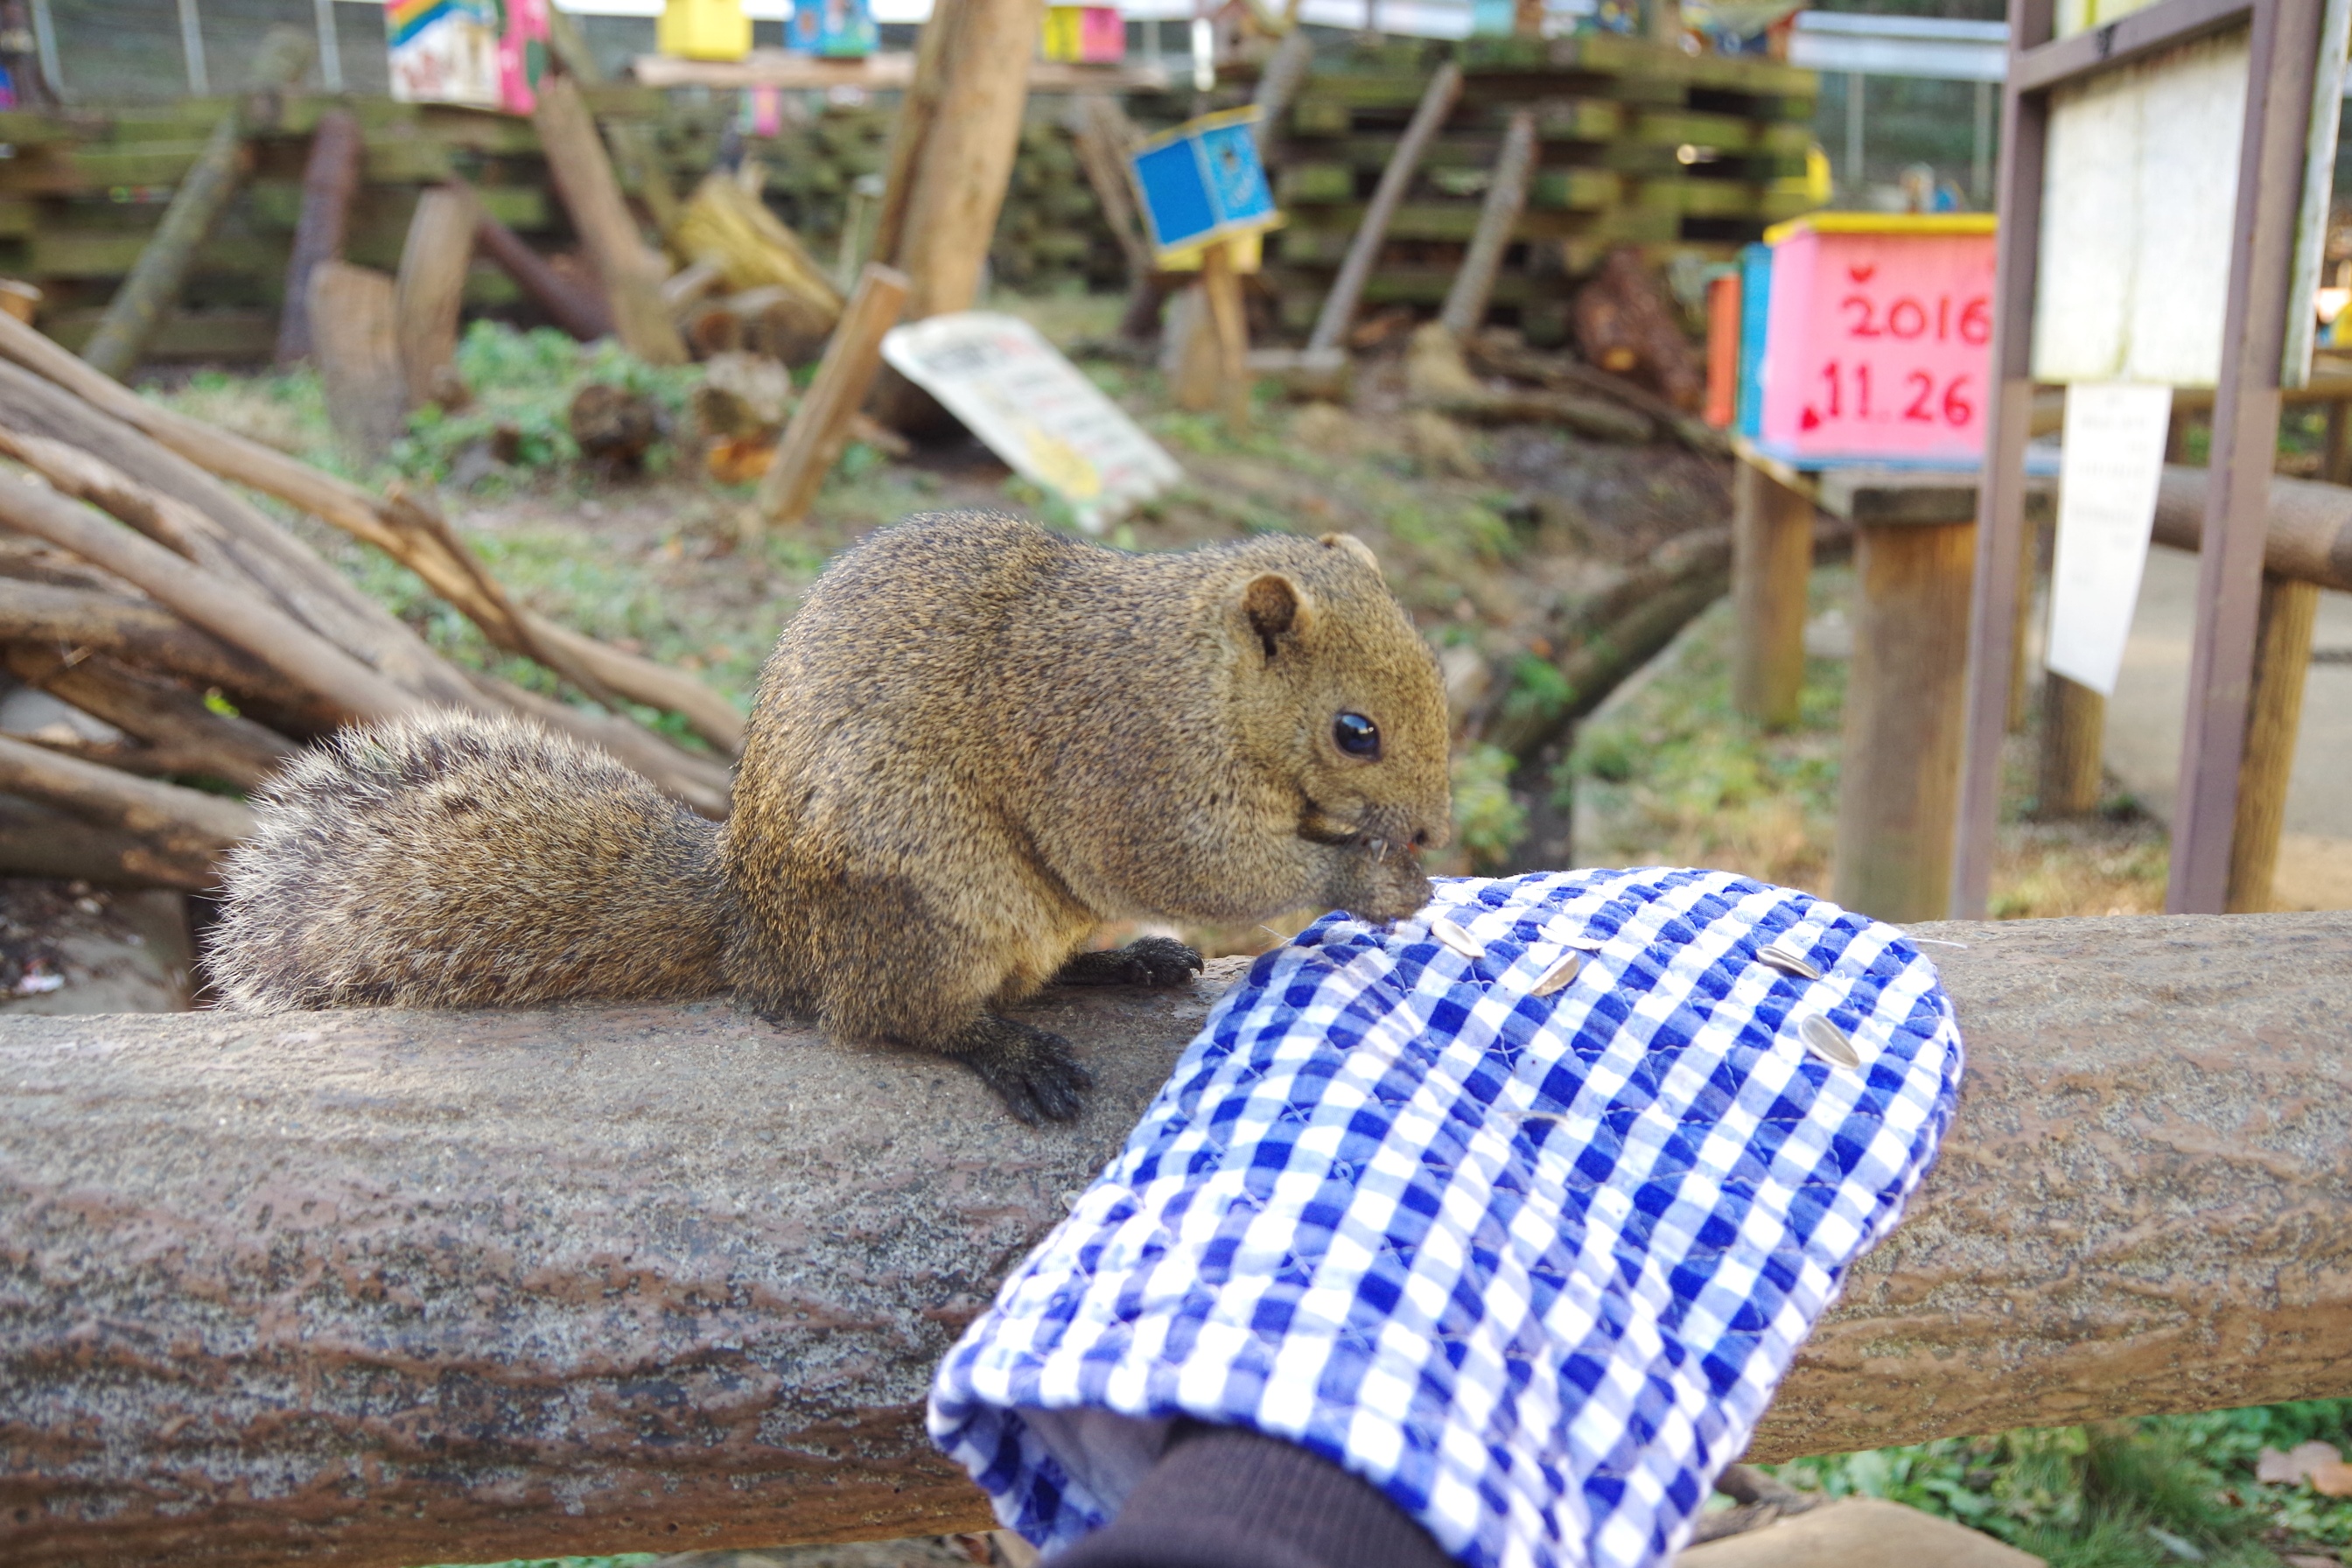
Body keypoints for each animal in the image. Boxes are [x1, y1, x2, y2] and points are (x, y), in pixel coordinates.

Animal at [206, 522, 1448, 1124]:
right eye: (1354, 731)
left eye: (1437, 672)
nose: (1434, 827)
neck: (1203, 672)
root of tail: (759, 934)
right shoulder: (1120, 756)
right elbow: (1195, 862)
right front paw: (1366, 881)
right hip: (932, 907)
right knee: (893, 1017)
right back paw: (1005, 1052)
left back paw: (1122, 964)